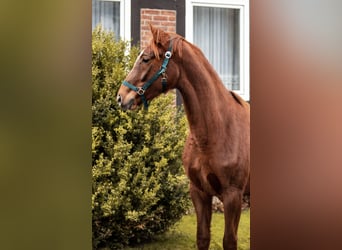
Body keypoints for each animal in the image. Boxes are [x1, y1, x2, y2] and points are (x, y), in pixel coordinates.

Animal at [117, 25, 248, 250]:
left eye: (146, 59)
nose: (120, 97)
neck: (218, 130)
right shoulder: (199, 192)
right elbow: (202, 237)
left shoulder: (233, 196)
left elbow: (229, 241)